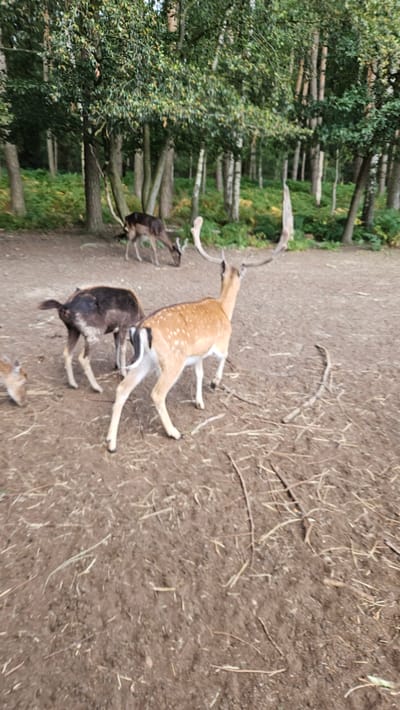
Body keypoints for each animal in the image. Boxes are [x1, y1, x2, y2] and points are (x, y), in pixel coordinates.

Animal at [106, 184, 293, 452]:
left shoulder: (197, 355)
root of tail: (142, 328)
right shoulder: (222, 341)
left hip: (146, 361)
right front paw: (214, 384)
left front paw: (199, 401)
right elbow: (223, 358)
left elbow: (199, 374)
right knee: (157, 393)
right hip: (172, 360)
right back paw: (173, 432)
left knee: (122, 388)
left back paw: (111, 442)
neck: (224, 309)